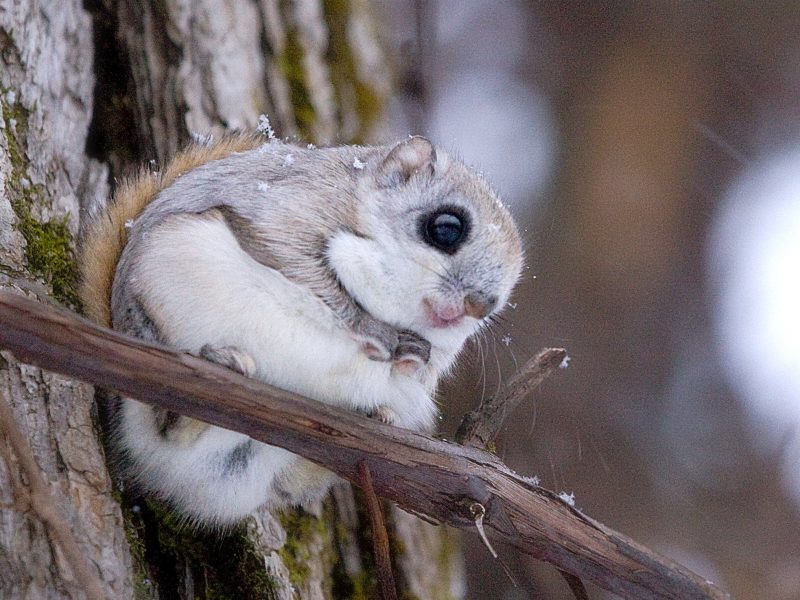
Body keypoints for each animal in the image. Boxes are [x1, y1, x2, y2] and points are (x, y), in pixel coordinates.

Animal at [78, 131, 520, 524]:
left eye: (500, 301)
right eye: (446, 227)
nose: (480, 306)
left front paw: (412, 359)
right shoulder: (291, 214)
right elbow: (308, 273)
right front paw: (376, 332)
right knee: (165, 425)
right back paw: (215, 370)